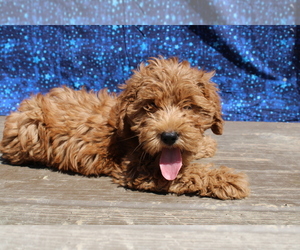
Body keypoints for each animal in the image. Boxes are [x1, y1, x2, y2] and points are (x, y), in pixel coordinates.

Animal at [0, 56, 250, 199]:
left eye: (188, 106)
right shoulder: (138, 168)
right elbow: (188, 173)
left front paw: (204, 145)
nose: (169, 136)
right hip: (29, 128)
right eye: (149, 106)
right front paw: (227, 179)